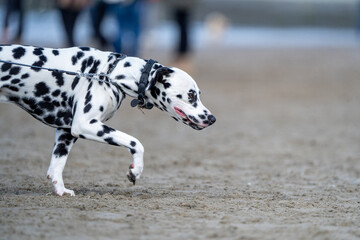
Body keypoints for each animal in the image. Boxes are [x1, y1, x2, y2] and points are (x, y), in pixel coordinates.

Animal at [0, 44, 214, 196]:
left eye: (198, 94)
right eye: (191, 95)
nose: (212, 118)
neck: (112, 72)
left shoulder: (66, 132)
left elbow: (56, 167)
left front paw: (60, 190)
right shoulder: (85, 124)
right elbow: (136, 143)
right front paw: (136, 170)